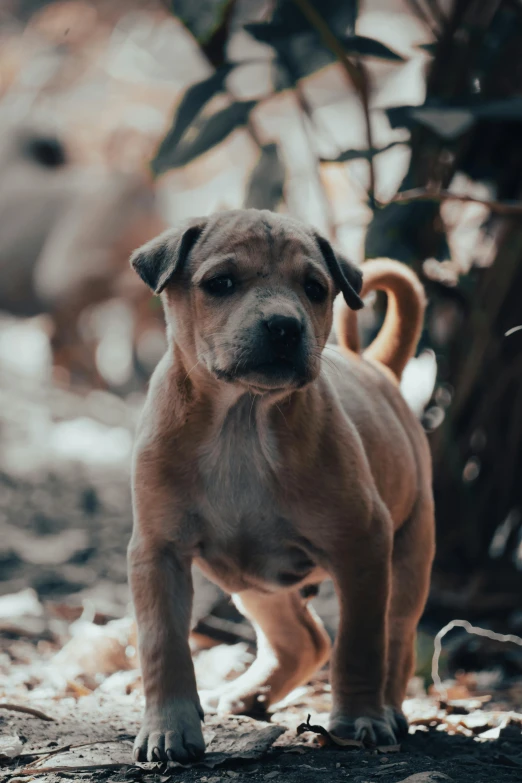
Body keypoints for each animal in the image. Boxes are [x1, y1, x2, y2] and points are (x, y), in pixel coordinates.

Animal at [128, 211, 432, 764]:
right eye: (220, 283)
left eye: (315, 289)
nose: (284, 326)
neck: (242, 422)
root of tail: (377, 366)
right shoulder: (157, 552)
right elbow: (163, 646)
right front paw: (169, 729)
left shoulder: (362, 546)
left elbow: (360, 645)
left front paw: (358, 719)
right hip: (253, 581)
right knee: (304, 640)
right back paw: (250, 695)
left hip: (408, 554)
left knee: (394, 636)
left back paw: (388, 711)